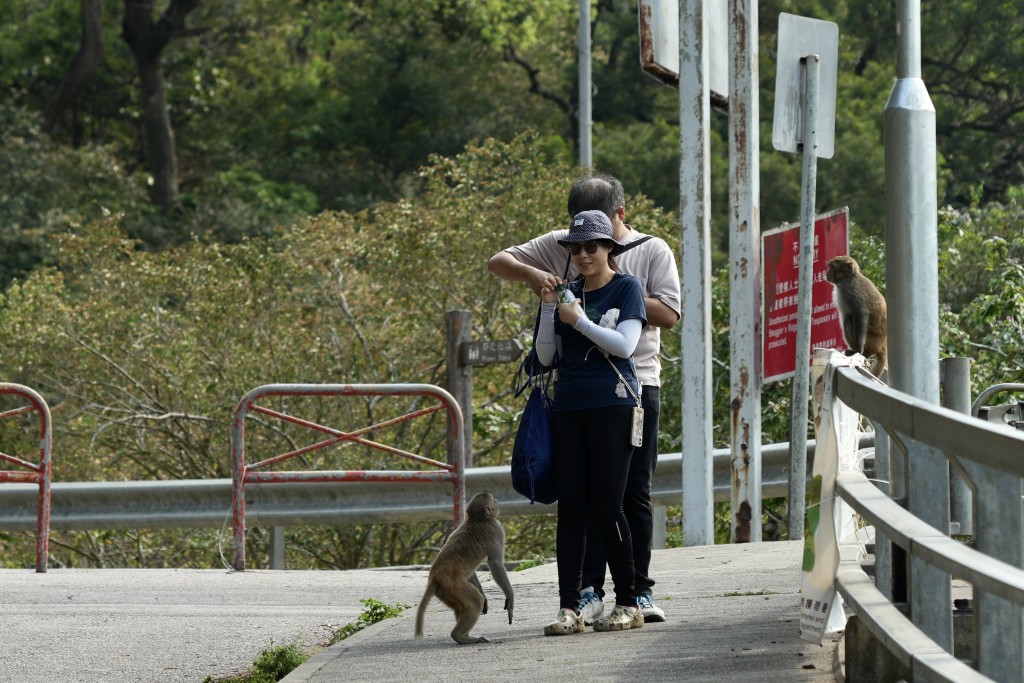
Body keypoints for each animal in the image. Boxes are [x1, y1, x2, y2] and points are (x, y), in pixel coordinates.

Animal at [413, 491, 516, 643]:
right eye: (493, 501)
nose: (497, 501)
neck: (476, 519)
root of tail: (434, 576)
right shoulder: (496, 529)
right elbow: (495, 563)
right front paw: (510, 599)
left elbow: (472, 572)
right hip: (453, 585)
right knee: (475, 601)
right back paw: (459, 636)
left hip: (445, 591)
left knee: (462, 606)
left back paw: (465, 636)